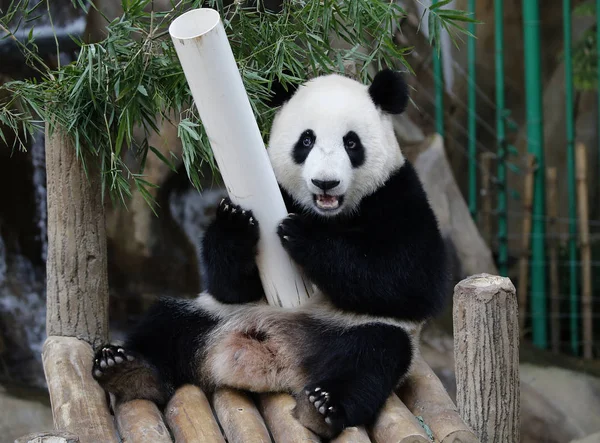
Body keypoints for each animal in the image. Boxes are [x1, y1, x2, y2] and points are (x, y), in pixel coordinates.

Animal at [94, 67, 448, 438]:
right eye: (306, 141)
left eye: (351, 143)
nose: (325, 183)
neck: (328, 213)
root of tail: (275, 361)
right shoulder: (277, 191)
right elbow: (230, 285)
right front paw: (234, 224)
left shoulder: (397, 195)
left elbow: (411, 281)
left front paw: (305, 236)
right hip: (215, 315)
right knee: (167, 324)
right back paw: (126, 369)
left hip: (355, 331)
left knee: (371, 359)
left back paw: (323, 406)